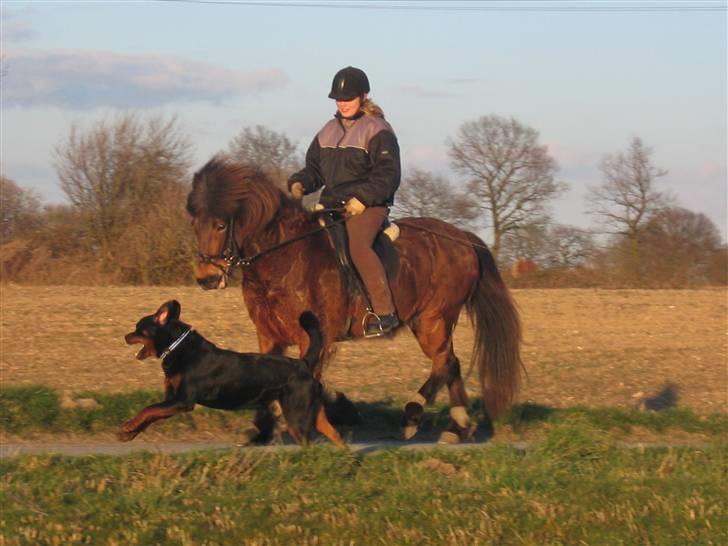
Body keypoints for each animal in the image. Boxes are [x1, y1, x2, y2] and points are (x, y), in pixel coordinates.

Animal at [119, 298, 344, 446]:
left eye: (138, 328)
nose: (125, 336)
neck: (177, 347)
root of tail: (304, 364)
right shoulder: (172, 400)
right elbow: (152, 413)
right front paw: (131, 432)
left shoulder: (183, 400)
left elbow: (148, 409)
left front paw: (128, 426)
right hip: (311, 410)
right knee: (335, 434)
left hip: (296, 415)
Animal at [185, 155, 520, 444]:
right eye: (195, 224)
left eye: (220, 225)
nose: (206, 278)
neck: (283, 257)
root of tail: (462, 238)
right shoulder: (269, 337)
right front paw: (264, 430)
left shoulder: (314, 340)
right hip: (428, 322)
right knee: (451, 362)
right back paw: (456, 427)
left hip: (433, 319)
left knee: (445, 362)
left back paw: (413, 415)